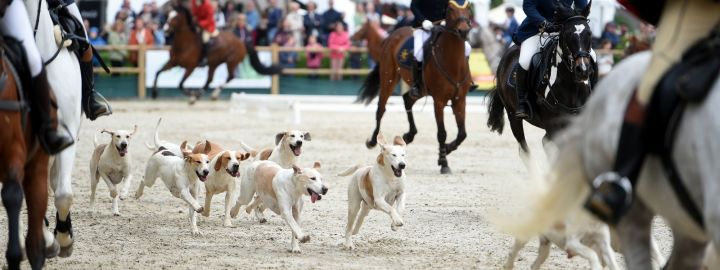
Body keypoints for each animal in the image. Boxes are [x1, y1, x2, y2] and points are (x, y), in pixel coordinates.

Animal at [153, 3, 282, 104]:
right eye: (168, 15)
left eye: (175, 17)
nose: (165, 30)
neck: (184, 44)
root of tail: (241, 41)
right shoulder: (173, 62)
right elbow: (158, 72)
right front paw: (155, 94)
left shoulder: (191, 67)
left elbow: (180, 84)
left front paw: (190, 95)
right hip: (214, 63)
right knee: (210, 79)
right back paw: (199, 95)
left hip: (231, 62)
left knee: (230, 77)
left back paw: (210, 95)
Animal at [358, 1, 472, 174]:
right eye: (451, 8)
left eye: (468, 8)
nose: (463, 30)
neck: (453, 62)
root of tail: (394, 34)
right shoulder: (439, 101)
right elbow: (442, 133)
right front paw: (444, 162)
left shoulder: (460, 100)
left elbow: (462, 134)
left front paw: (447, 149)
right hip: (388, 79)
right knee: (381, 108)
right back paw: (372, 141)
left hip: (420, 89)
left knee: (407, 100)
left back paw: (409, 135)